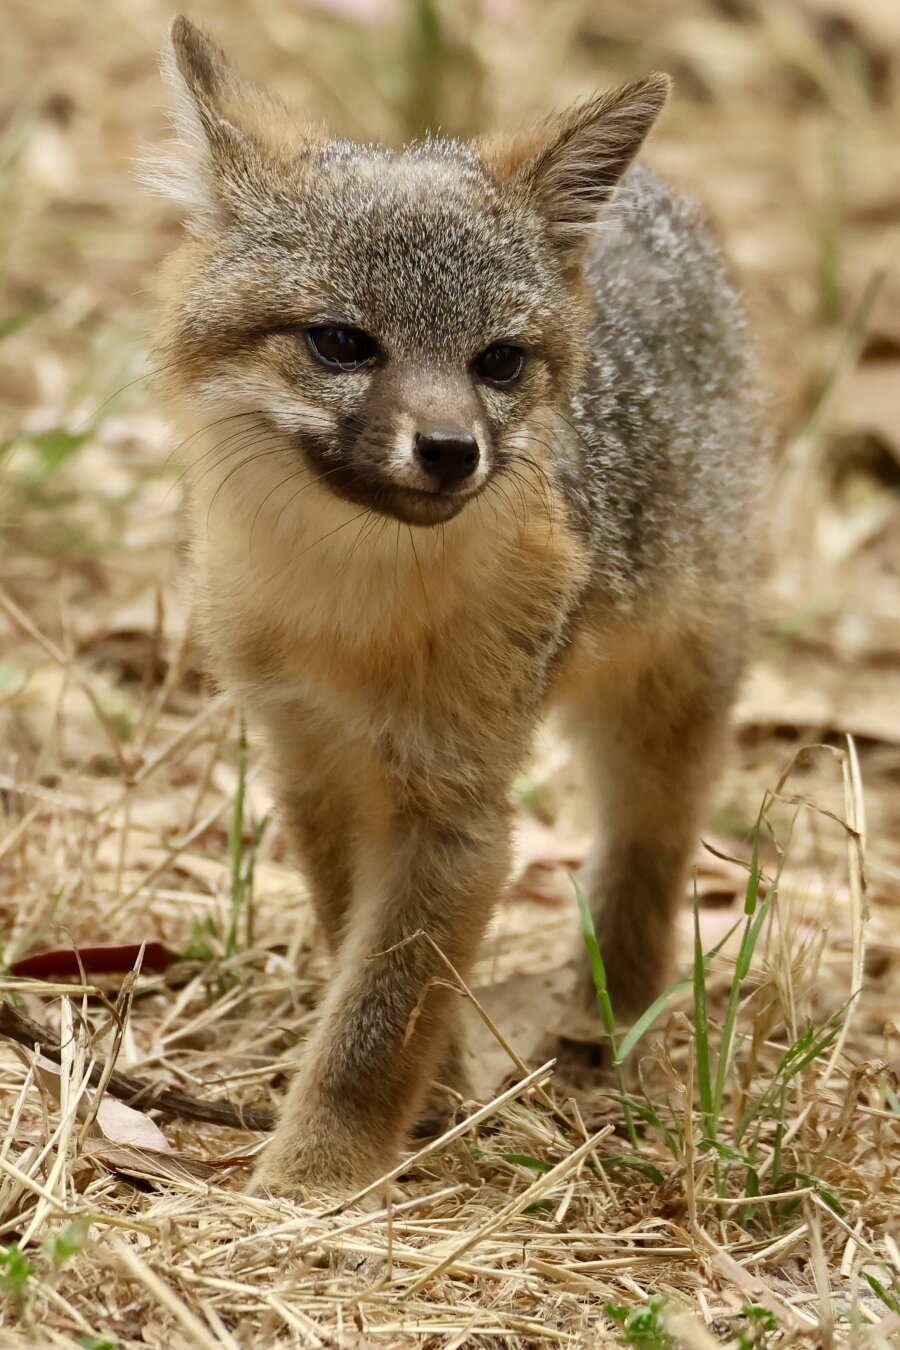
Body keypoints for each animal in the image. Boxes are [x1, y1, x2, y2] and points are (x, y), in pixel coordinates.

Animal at [152, 17, 761, 1199]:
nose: (449, 450)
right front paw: (432, 1100)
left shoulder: (459, 806)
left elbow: (377, 1015)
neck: (352, 609)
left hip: (668, 698)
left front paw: (315, 1183)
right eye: (342, 343)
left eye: (498, 363)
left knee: (649, 853)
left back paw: (611, 1035)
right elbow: (365, 953)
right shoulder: (311, 763)